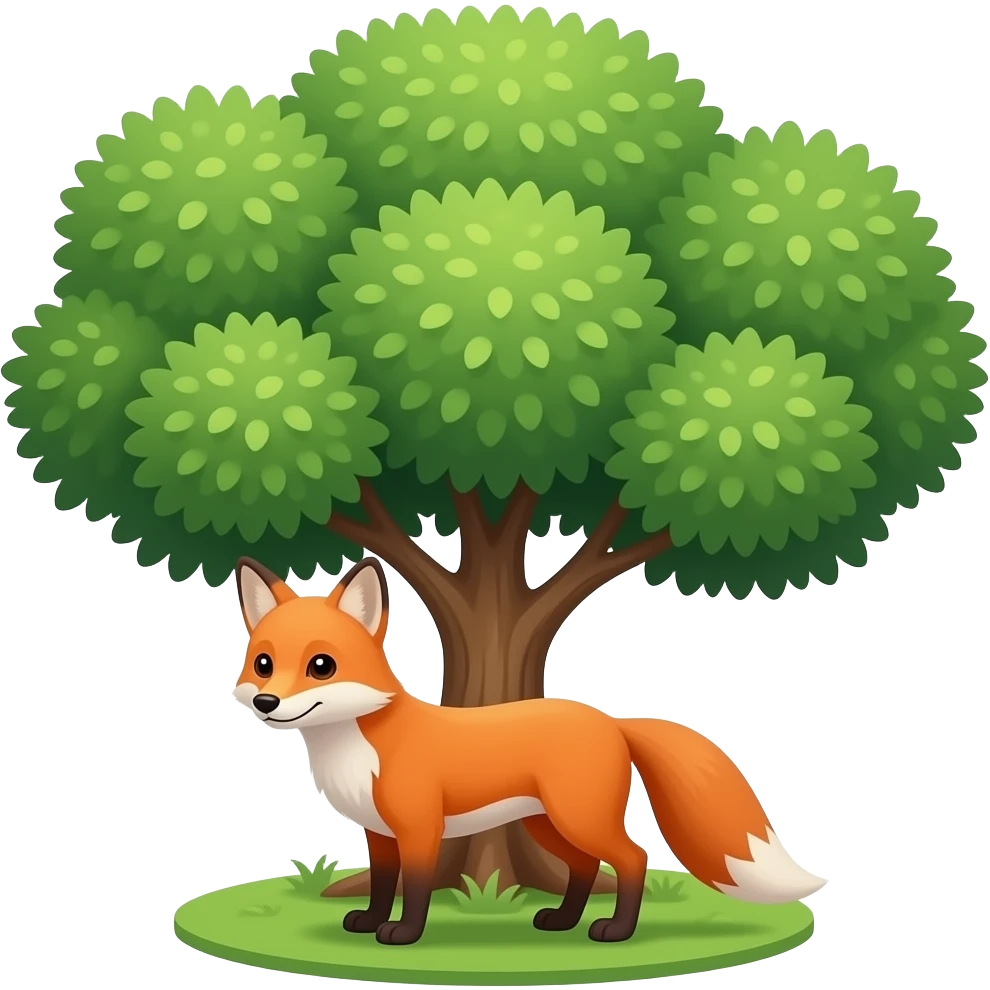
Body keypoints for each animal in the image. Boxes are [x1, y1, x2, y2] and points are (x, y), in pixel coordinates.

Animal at [232, 555, 826, 946]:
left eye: (321, 665)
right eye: (262, 663)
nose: (265, 701)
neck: (356, 745)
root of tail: (610, 721)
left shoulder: (420, 827)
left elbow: (416, 886)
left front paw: (402, 933)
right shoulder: (378, 832)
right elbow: (381, 882)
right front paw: (369, 920)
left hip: (578, 816)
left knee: (632, 859)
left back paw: (615, 931)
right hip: (548, 824)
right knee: (586, 867)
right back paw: (562, 921)